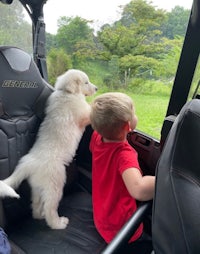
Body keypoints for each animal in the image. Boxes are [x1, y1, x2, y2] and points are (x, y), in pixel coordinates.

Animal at [0, 69, 97, 230]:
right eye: (86, 82)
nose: (97, 88)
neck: (66, 92)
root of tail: (28, 163)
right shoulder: (83, 113)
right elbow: (91, 108)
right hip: (55, 184)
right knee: (50, 208)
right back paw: (58, 223)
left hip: (38, 187)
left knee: (36, 206)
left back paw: (39, 216)